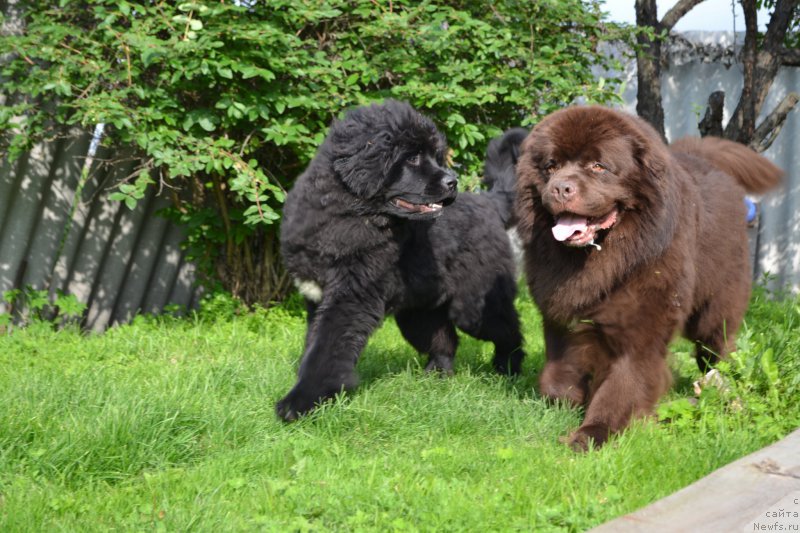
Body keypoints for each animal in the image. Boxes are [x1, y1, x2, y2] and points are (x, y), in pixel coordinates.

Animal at [276, 97, 524, 418]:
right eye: (413, 158)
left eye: (435, 156)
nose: (452, 181)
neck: (349, 213)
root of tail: (489, 202)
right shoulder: (317, 299)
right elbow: (314, 346)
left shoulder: (349, 297)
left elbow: (325, 350)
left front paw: (300, 402)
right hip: (418, 309)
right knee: (444, 338)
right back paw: (436, 377)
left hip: (474, 304)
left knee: (507, 330)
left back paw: (508, 368)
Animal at [512, 105, 780, 448]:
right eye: (551, 166)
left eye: (598, 166)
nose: (561, 187)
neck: (605, 259)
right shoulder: (560, 318)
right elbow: (558, 379)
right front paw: (569, 402)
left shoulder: (642, 330)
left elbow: (623, 386)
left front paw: (591, 434)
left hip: (714, 308)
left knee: (716, 345)